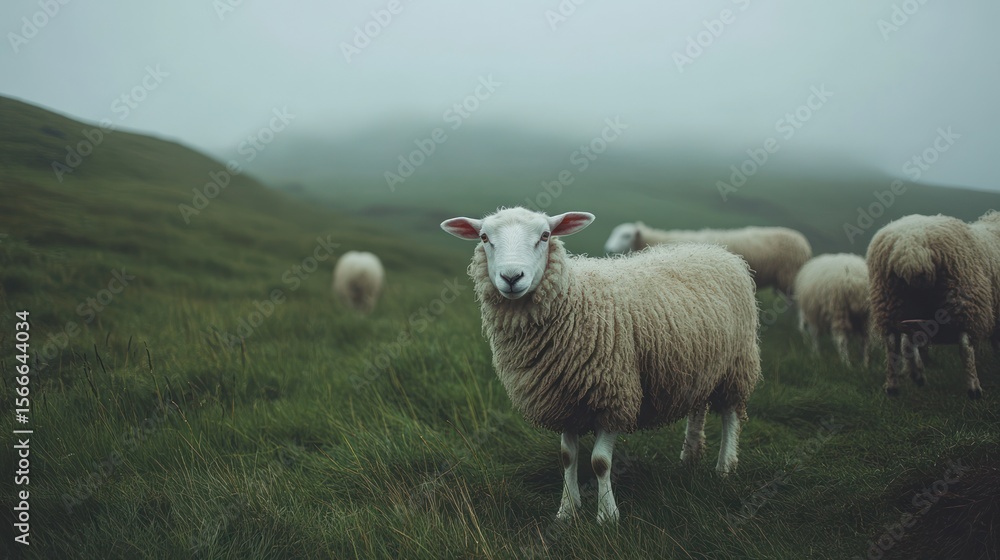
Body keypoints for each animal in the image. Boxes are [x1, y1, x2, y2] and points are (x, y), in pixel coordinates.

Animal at [441, 207, 761, 524]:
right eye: (484, 237)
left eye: (545, 235)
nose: (511, 276)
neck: (575, 301)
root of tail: (716, 251)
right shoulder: (562, 398)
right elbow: (567, 457)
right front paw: (567, 510)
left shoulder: (613, 395)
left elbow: (600, 462)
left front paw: (607, 516)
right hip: (700, 365)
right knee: (698, 407)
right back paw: (690, 457)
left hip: (737, 363)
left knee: (730, 414)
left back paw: (725, 467)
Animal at [867, 210, 1000, 399]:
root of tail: (910, 250)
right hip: (963, 298)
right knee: (965, 345)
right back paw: (974, 389)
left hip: (890, 303)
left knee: (893, 343)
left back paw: (895, 386)